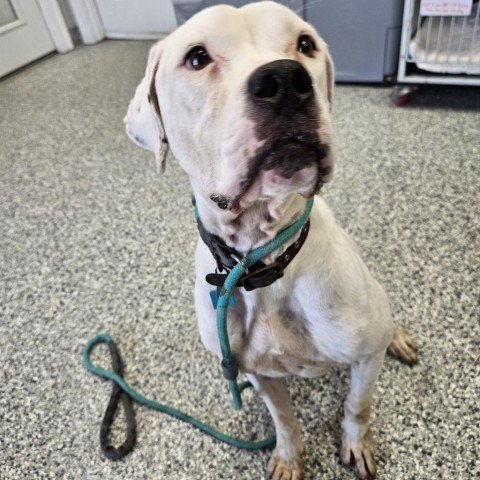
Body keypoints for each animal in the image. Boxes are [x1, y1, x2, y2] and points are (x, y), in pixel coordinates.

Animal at [125, 1, 418, 478]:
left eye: (305, 43)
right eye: (196, 57)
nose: (283, 80)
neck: (263, 263)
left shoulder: (363, 359)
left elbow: (357, 406)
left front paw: (356, 444)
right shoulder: (256, 372)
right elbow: (283, 418)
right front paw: (288, 456)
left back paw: (398, 337)